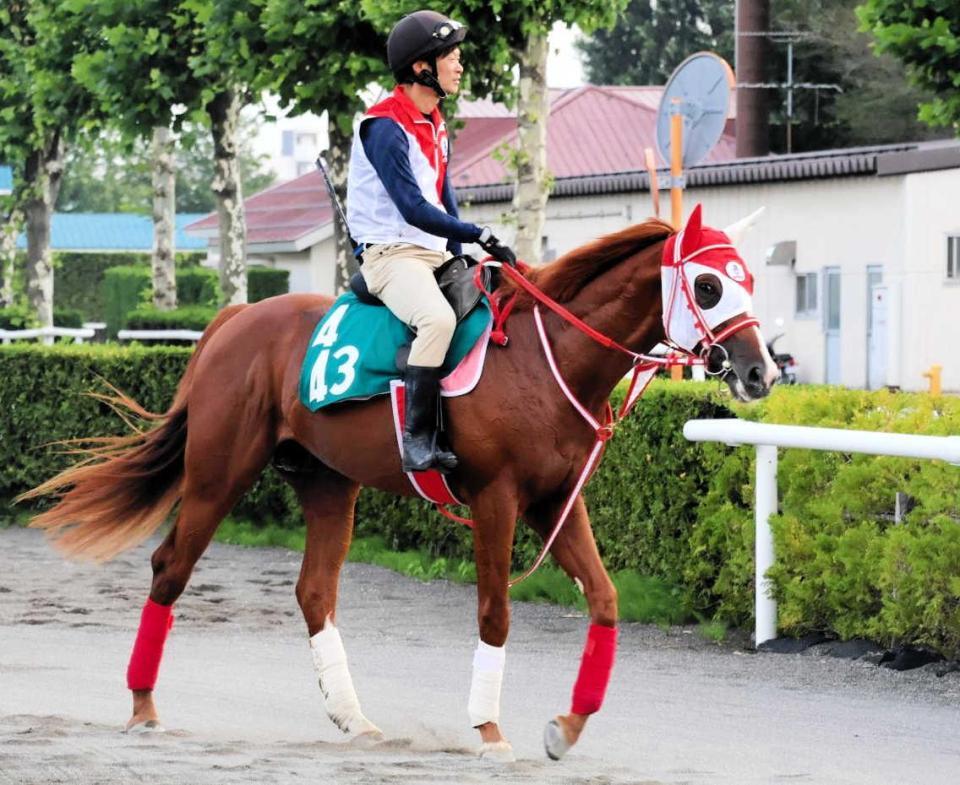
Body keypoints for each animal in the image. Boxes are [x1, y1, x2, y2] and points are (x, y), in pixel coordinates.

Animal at [21, 205, 777, 762]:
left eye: (749, 281)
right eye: (708, 286)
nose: (761, 372)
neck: (545, 360)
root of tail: (236, 319)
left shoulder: (556, 501)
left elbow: (606, 599)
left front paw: (567, 726)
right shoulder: (497, 499)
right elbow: (495, 612)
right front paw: (489, 731)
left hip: (329, 483)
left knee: (314, 591)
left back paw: (353, 718)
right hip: (217, 474)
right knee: (170, 567)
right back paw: (144, 706)